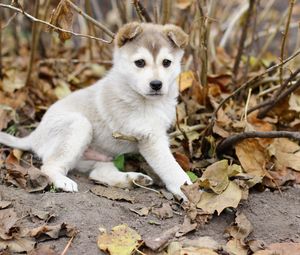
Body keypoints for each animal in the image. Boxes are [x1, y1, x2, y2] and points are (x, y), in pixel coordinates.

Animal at [0, 22, 192, 199]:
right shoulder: (151, 138)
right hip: (79, 126)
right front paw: (186, 189)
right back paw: (63, 182)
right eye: (140, 63)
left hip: (98, 157)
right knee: (49, 166)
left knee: (98, 173)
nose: (156, 84)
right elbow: (171, 167)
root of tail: (34, 135)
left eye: (166, 63)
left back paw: (133, 179)